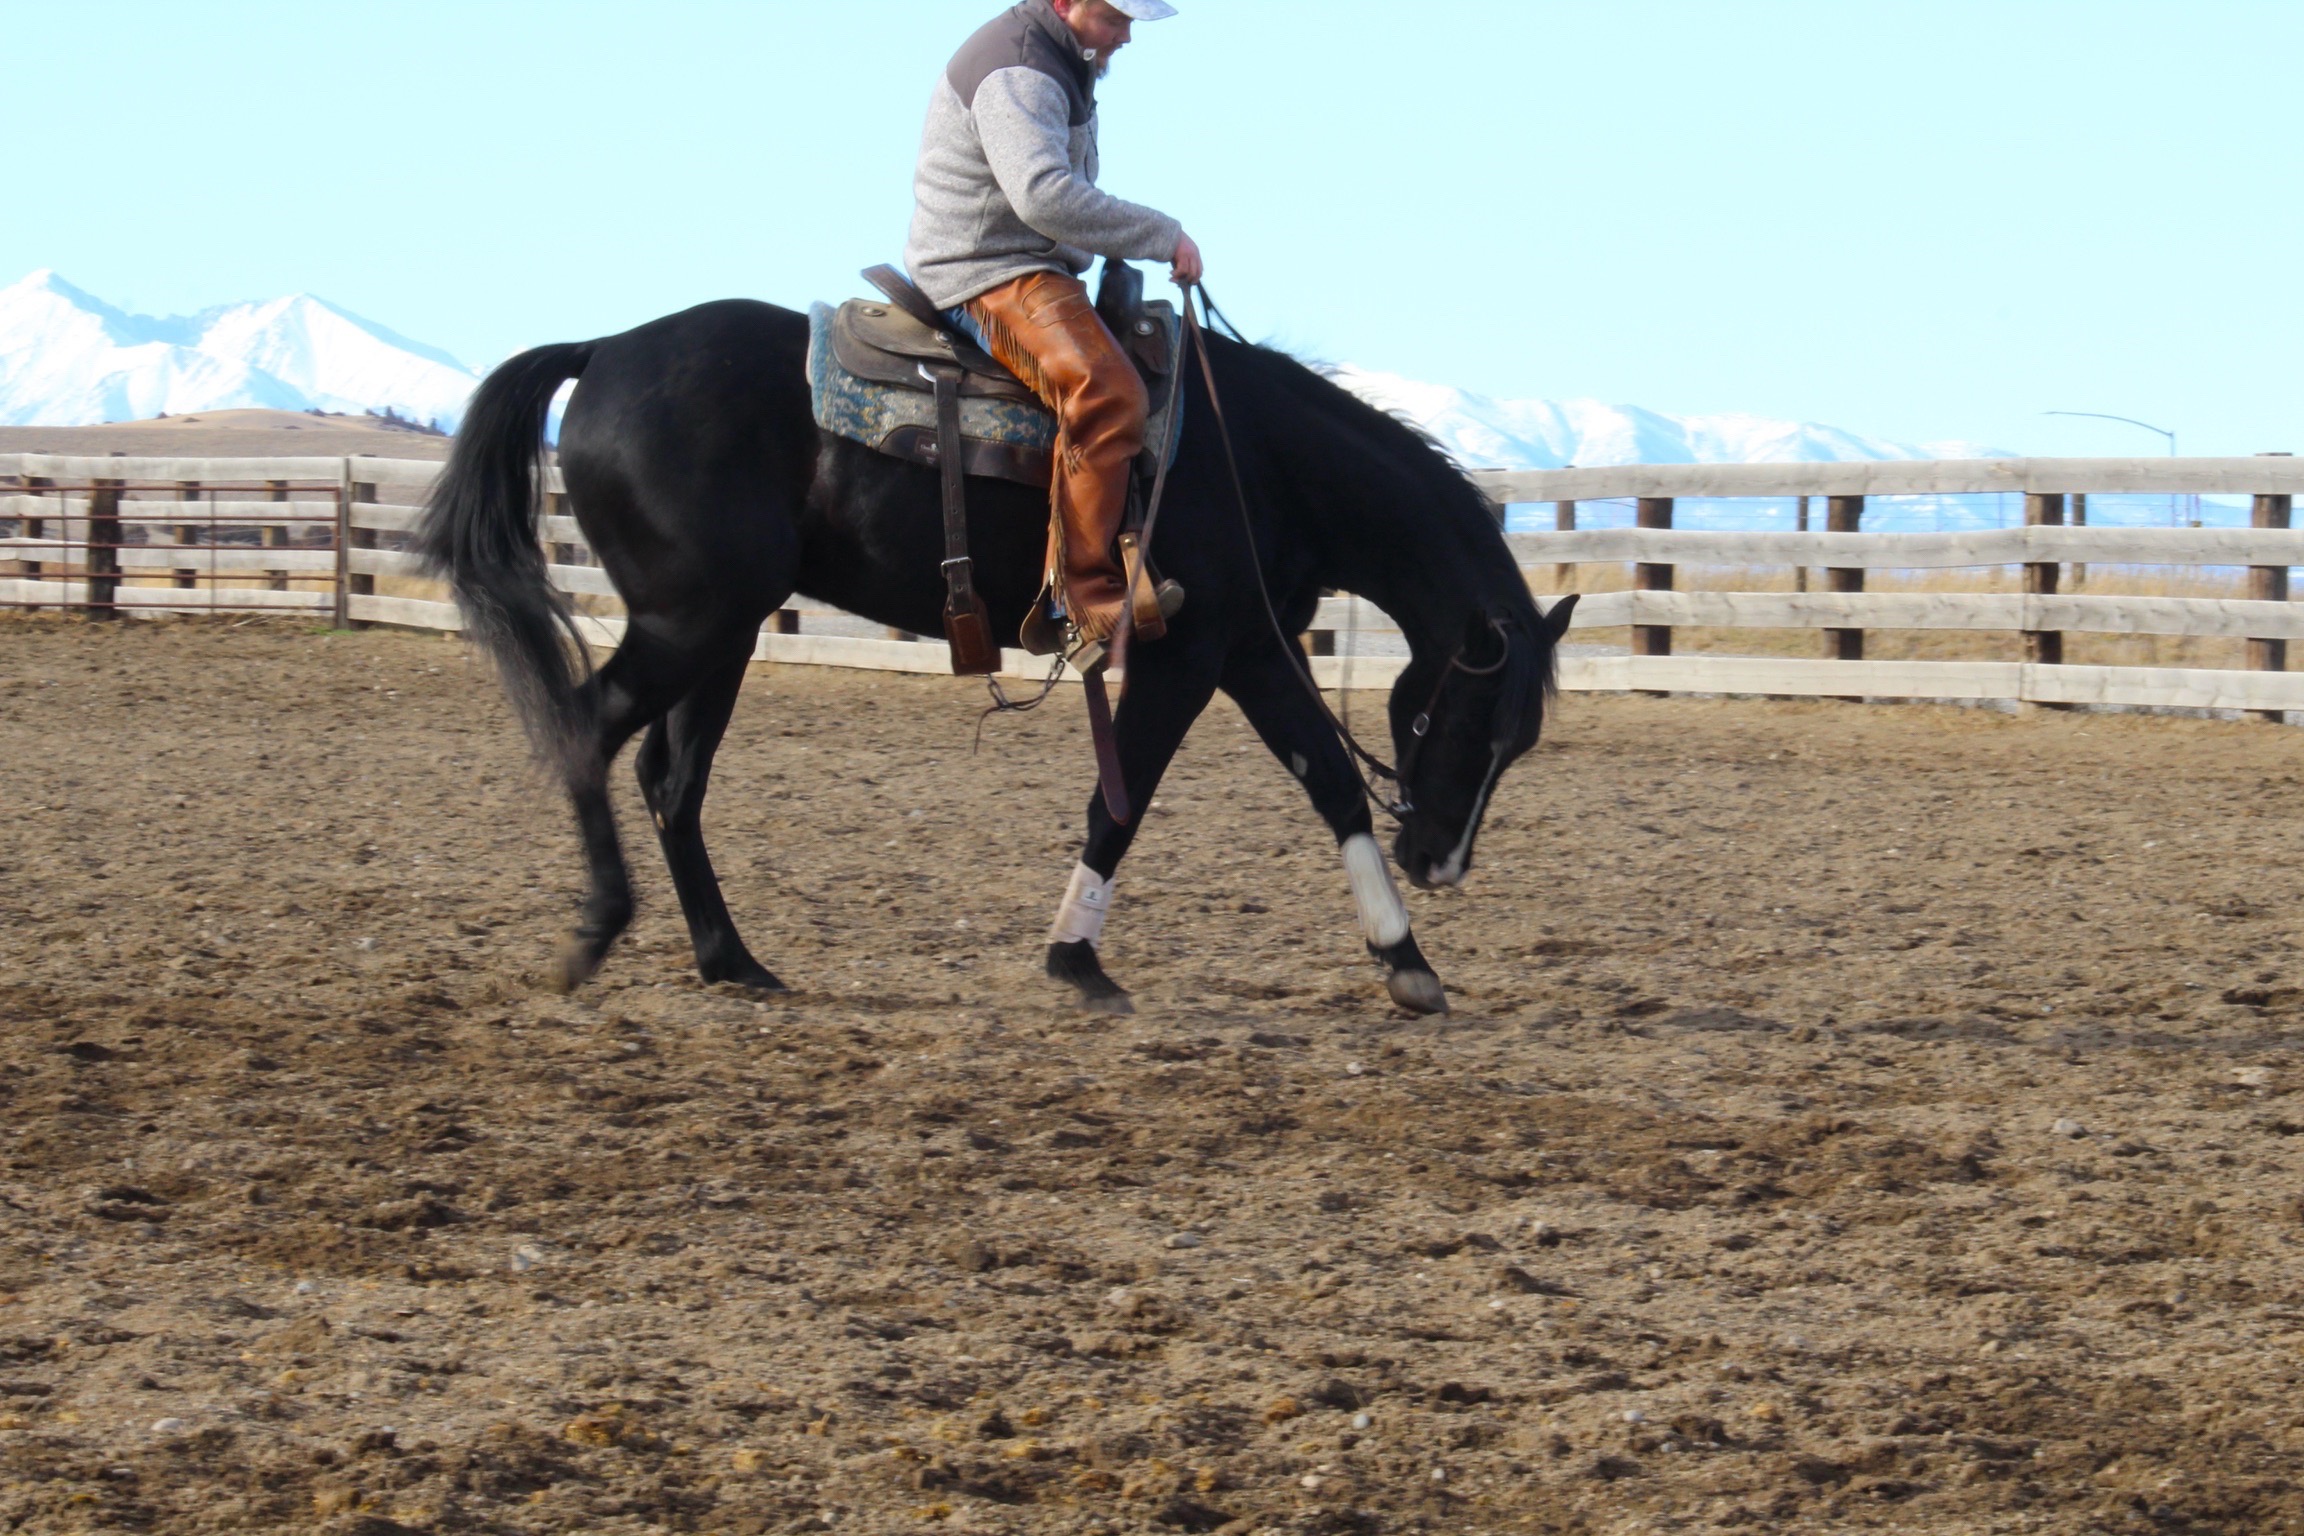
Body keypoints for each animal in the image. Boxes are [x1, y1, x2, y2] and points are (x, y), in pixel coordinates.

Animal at [417, 293, 1577, 1016]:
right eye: (1467, 721)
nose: (1442, 863)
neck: (1260, 461)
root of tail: (605, 348)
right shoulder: (1184, 652)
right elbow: (1119, 804)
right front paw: (1076, 960)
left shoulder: (1249, 644)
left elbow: (1329, 779)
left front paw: (1407, 961)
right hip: (688, 624)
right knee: (589, 731)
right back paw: (595, 932)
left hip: (724, 630)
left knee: (672, 777)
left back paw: (731, 959)